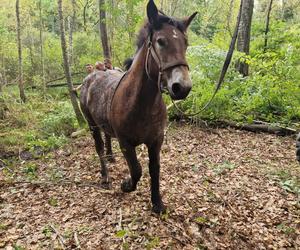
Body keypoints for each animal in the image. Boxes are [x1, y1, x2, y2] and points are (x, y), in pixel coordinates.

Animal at [79, 0, 197, 214]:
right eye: (160, 41)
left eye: (185, 43)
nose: (182, 87)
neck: (139, 104)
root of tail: (91, 77)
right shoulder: (126, 143)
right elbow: (136, 170)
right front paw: (126, 185)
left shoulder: (156, 141)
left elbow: (154, 169)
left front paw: (157, 203)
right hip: (92, 125)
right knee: (98, 147)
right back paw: (105, 175)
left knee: (106, 137)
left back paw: (110, 157)